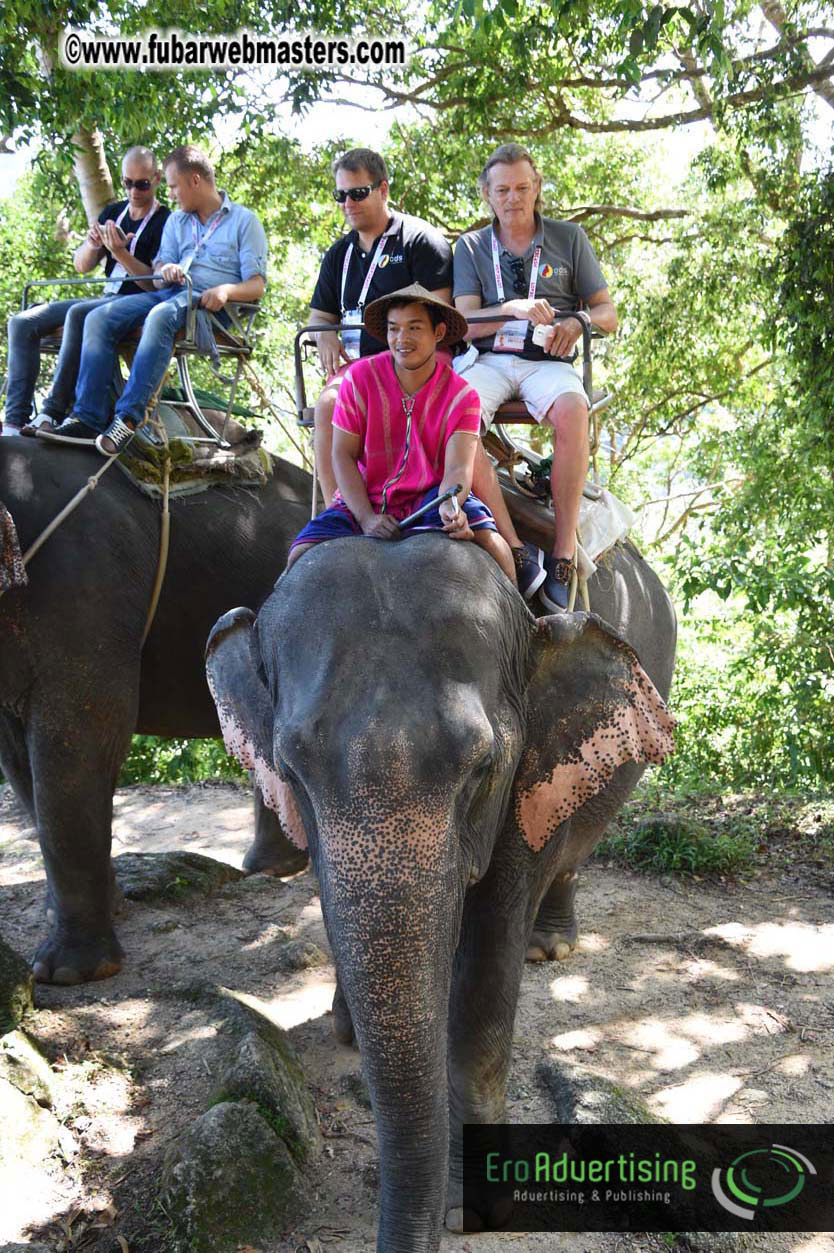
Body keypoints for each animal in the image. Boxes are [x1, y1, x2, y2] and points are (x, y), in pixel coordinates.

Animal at [0, 437, 311, 984]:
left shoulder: (85, 589)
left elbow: (80, 734)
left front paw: (67, 974)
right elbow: (18, 761)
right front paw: (103, 907)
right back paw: (269, 870)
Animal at [206, 532, 676, 1253]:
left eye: (482, 770)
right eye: (290, 770)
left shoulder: (527, 769)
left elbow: (488, 962)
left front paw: (477, 1211)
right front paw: (350, 1025)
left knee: (574, 845)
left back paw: (550, 948)